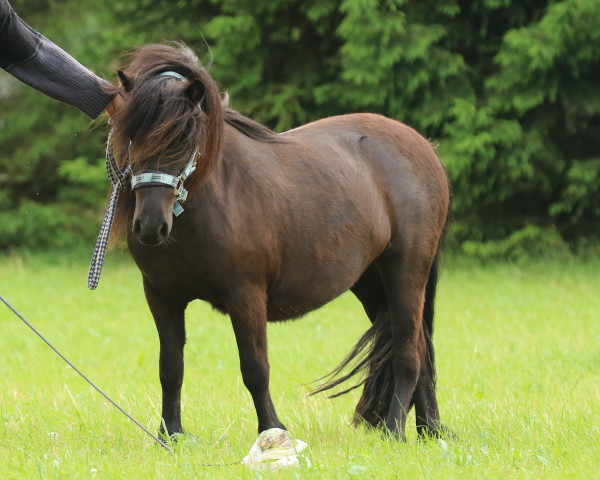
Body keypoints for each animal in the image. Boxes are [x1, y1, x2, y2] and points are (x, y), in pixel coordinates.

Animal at [106, 43, 450, 440]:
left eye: (184, 137)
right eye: (132, 135)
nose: (149, 225)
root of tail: (423, 147)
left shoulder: (246, 295)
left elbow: (255, 369)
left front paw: (273, 431)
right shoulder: (162, 297)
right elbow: (170, 368)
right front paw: (171, 435)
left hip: (406, 271)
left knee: (408, 352)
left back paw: (395, 430)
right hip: (370, 283)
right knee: (416, 347)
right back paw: (430, 429)